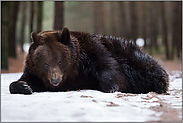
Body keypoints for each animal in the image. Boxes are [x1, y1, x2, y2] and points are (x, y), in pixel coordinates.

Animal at [8, 27, 169, 94]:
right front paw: (24, 86)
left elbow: (107, 65)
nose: (55, 81)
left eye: (59, 61)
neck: (73, 71)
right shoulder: (35, 72)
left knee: (145, 67)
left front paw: (112, 87)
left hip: (128, 54)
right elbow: (26, 80)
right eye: (45, 63)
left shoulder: (92, 50)